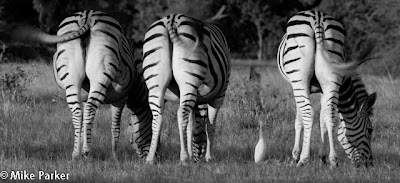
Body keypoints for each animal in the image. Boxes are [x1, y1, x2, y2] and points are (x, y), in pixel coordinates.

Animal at [12, 10, 153, 160]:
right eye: (151, 128)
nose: (158, 155)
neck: (136, 87)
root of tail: (88, 16)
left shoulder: (85, 97)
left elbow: (85, 121)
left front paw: (81, 145)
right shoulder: (121, 97)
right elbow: (115, 126)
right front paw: (115, 155)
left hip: (71, 79)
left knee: (77, 112)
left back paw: (75, 154)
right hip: (101, 75)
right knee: (90, 109)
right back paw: (86, 151)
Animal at [139, 13, 230, 164]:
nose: (200, 156)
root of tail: (171, 19)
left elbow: (191, 126)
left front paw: (194, 155)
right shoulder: (219, 96)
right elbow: (211, 124)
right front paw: (208, 157)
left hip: (155, 84)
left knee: (158, 117)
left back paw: (150, 158)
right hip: (189, 81)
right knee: (181, 115)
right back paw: (184, 157)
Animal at [276, 10, 376, 167]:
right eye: (370, 130)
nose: (369, 164)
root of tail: (317, 16)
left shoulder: (298, 87)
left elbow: (301, 120)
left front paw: (296, 155)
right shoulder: (324, 91)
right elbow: (319, 120)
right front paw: (322, 157)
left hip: (300, 80)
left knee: (309, 112)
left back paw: (304, 159)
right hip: (331, 76)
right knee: (329, 114)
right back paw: (333, 160)